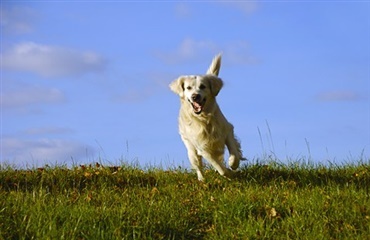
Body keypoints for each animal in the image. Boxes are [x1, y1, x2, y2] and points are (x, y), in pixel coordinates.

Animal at [169, 53, 244, 181]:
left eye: (203, 86)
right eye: (188, 88)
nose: (195, 96)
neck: (205, 119)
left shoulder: (227, 129)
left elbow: (234, 151)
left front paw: (233, 164)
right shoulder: (202, 148)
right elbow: (219, 167)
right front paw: (228, 173)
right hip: (191, 150)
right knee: (198, 166)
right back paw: (202, 180)